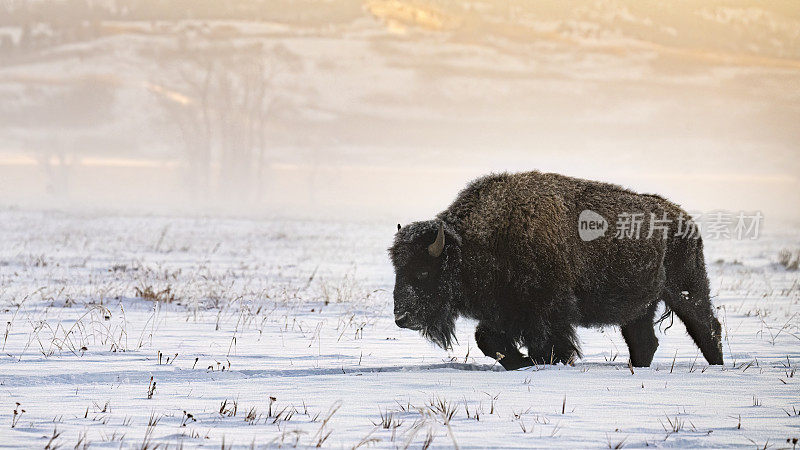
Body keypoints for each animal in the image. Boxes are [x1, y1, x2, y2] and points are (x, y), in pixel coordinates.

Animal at [388, 171, 724, 370]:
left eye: (422, 272)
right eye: (398, 270)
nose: (402, 318)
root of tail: (685, 220)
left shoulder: (547, 311)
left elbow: (548, 345)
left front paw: (544, 362)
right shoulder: (502, 312)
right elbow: (487, 340)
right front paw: (521, 362)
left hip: (686, 289)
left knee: (706, 326)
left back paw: (716, 365)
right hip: (641, 306)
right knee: (644, 340)